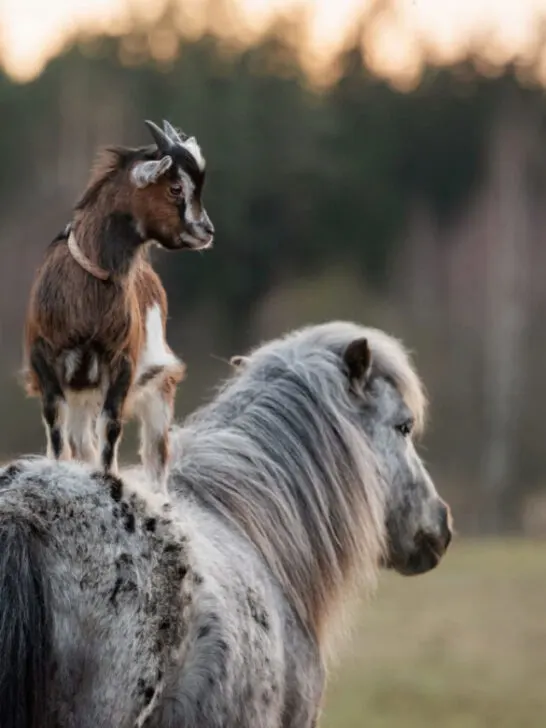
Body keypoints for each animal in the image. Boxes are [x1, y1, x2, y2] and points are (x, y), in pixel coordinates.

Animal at [23, 119, 214, 493]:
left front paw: (108, 475)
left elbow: (110, 425)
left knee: (155, 455)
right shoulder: (43, 355)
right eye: (175, 188)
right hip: (83, 390)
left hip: (158, 385)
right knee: (81, 439)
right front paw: (58, 469)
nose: (206, 231)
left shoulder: (122, 360)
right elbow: (55, 420)